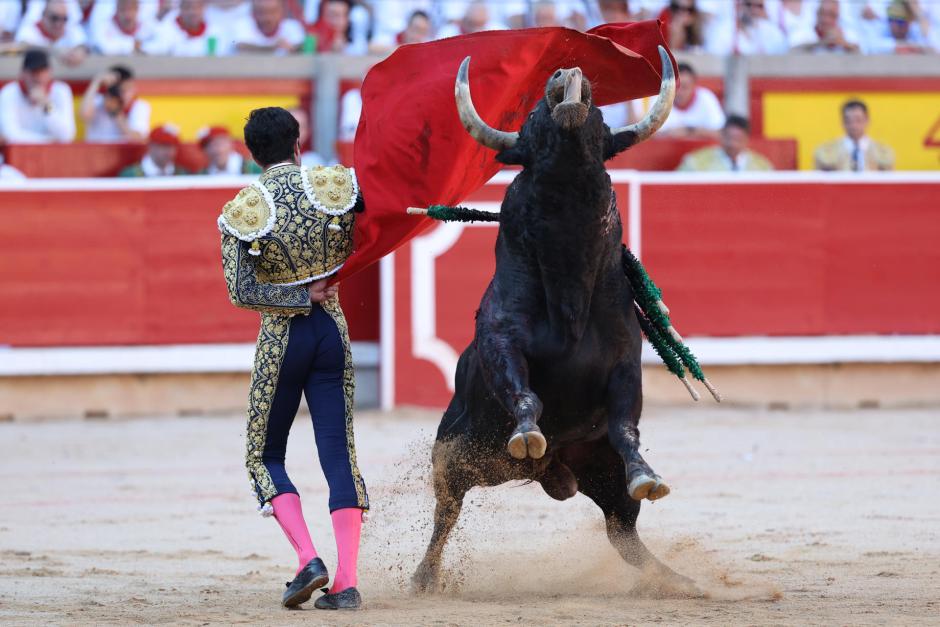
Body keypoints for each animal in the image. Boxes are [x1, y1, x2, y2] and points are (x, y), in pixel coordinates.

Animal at [414, 50, 700, 600]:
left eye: (601, 118)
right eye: (529, 118)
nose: (568, 78)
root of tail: (555, 473)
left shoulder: (625, 365)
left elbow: (627, 428)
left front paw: (647, 475)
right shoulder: (501, 343)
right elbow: (524, 393)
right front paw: (528, 433)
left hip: (600, 473)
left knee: (622, 530)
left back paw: (676, 580)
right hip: (456, 455)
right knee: (446, 512)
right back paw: (424, 577)